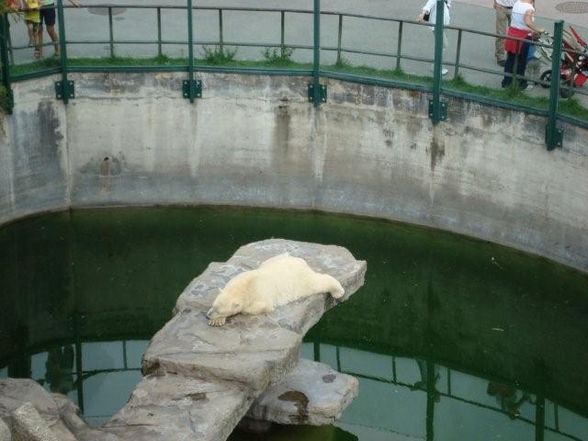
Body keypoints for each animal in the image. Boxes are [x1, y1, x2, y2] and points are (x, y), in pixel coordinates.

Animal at [207, 253, 344, 324]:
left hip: (300, 281)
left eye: (219, 310)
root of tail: (299, 260)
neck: (244, 286)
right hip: (272, 260)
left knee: (317, 283)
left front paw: (218, 320)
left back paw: (339, 292)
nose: (208, 315)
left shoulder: (260, 294)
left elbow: (262, 306)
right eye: (213, 306)